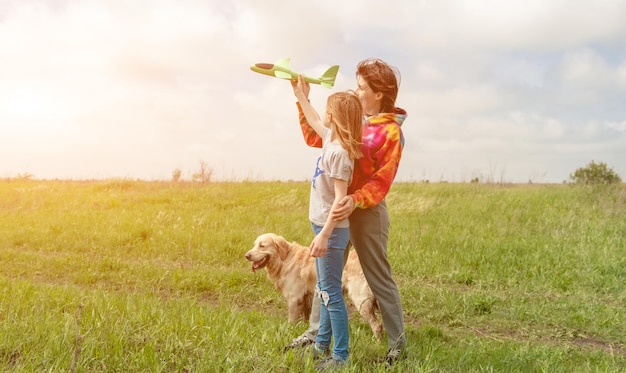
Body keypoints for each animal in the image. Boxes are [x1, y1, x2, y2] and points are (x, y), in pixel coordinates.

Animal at [244, 232, 380, 338]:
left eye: (262, 245)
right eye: (254, 245)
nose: (247, 255)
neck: (284, 259)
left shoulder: (294, 298)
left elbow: (291, 319)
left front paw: (289, 330)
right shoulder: (307, 298)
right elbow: (306, 317)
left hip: (360, 299)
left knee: (377, 324)